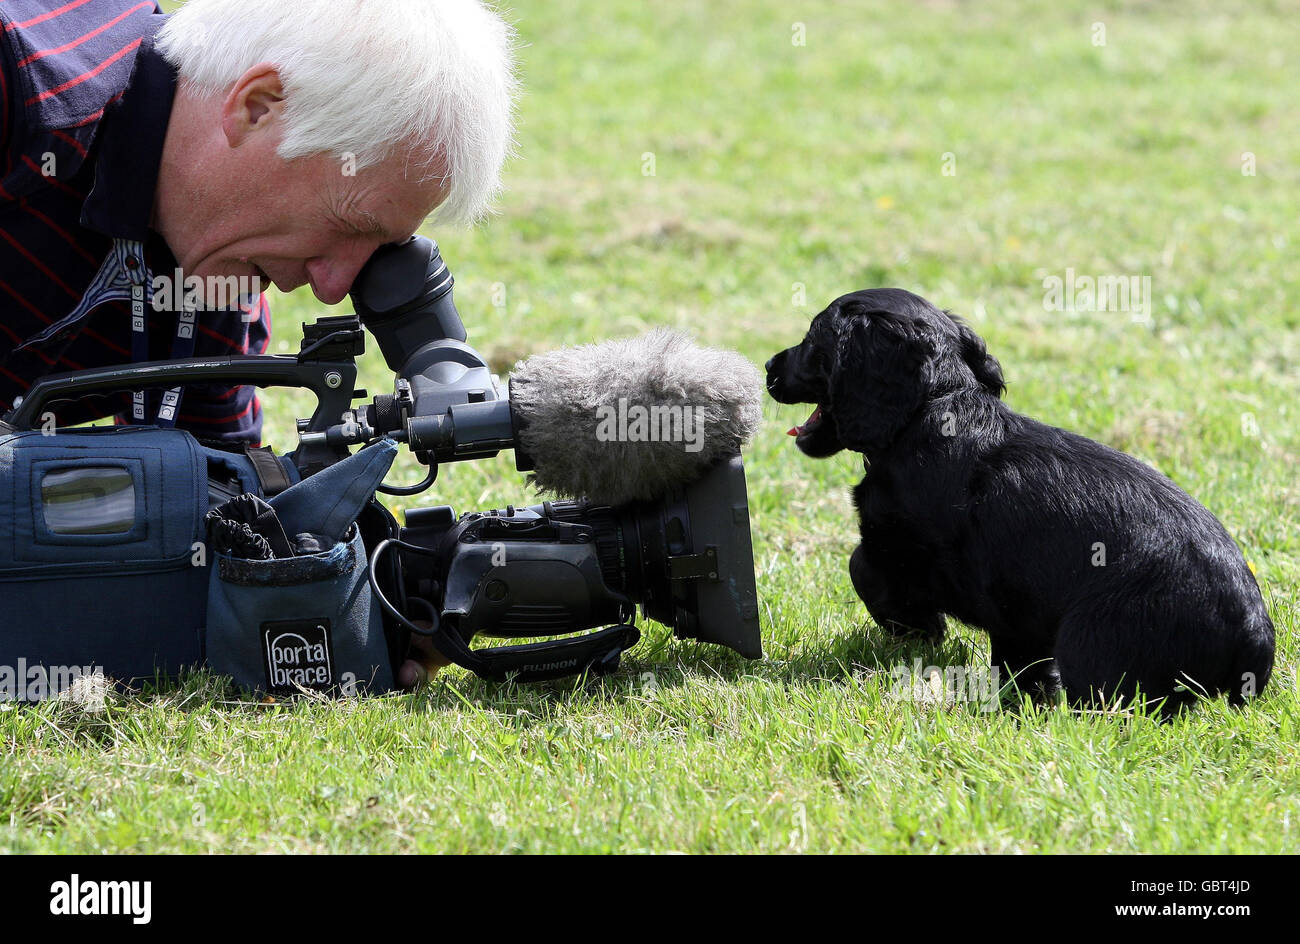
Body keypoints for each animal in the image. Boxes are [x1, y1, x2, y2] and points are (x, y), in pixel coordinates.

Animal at [764, 288, 1274, 707]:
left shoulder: (916, 552)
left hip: (1092, 646)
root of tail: (1253, 632)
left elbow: (864, 566)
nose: (769, 366)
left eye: (813, 340)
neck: (936, 409)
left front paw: (920, 633)